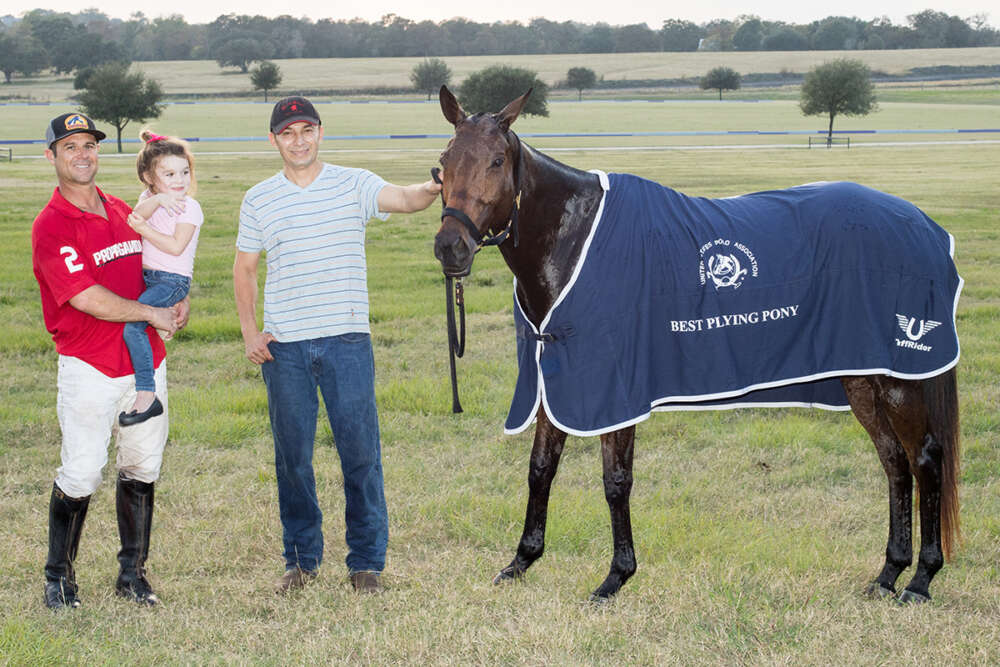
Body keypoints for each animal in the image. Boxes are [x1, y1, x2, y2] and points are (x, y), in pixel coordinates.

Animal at [432, 86, 960, 604]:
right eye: (444, 161)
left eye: (497, 161)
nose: (450, 248)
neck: (575, 240)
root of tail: (923, 226)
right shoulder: (557, 381)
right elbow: (541, 468)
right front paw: (521, 561)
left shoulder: (616, 392)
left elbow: (616, 481)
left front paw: (615, 578)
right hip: (862, 380)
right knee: (895, 462)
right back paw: (887, 574)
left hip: (900, 379)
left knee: (925, 458)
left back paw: (920, 580)